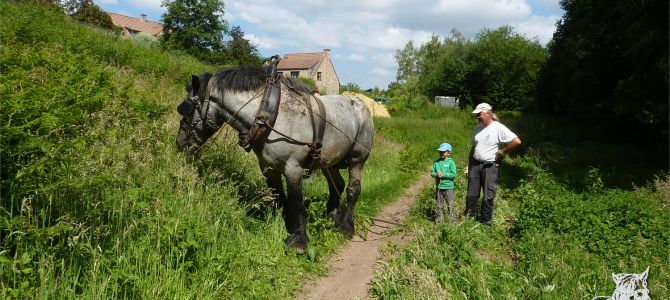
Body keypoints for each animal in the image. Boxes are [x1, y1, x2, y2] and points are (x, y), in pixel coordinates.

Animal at [177, 66, 378, 251]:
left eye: (187, 110)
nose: (179, 143)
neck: (269, 113)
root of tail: (361, 104)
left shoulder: (293, 168)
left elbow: (296, 202)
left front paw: (298, 239)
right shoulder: (268, 168)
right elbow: (279, 198)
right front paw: (279, 226)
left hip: (358, 159)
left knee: (352, 190)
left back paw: (347, 227)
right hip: (329, 161)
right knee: (337, 185)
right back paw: (332, 218)